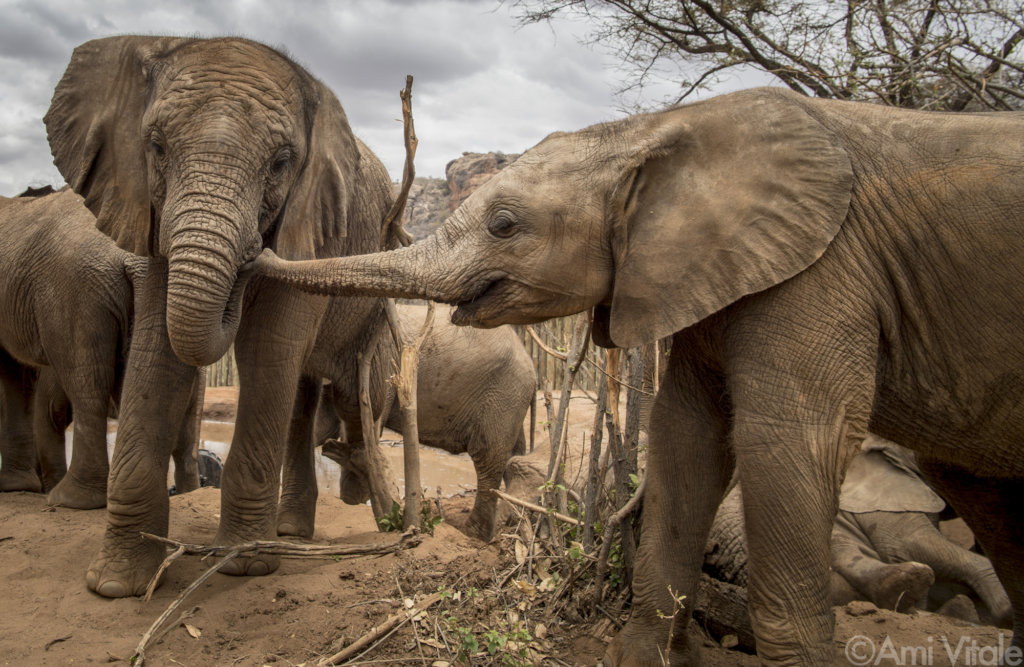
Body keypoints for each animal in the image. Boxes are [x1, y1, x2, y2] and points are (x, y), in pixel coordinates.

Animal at [44, 36, 397, 598]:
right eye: (156, 147)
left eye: (281, 162)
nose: (247, 263)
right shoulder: (149, 216)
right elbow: (159, 353)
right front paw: (117, 584)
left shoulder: (312, 231)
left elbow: (266, 353)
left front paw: (244, 567)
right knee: (302, 399)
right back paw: (290, 532)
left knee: (351, 394)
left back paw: (367, 511)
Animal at [306, 302, 537, 541]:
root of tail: (531, 365)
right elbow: (323, 425)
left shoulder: (379, 365)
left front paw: (355, 500)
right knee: (511, 456)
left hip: (503, 397)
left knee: (487, 457)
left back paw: (473, 533)